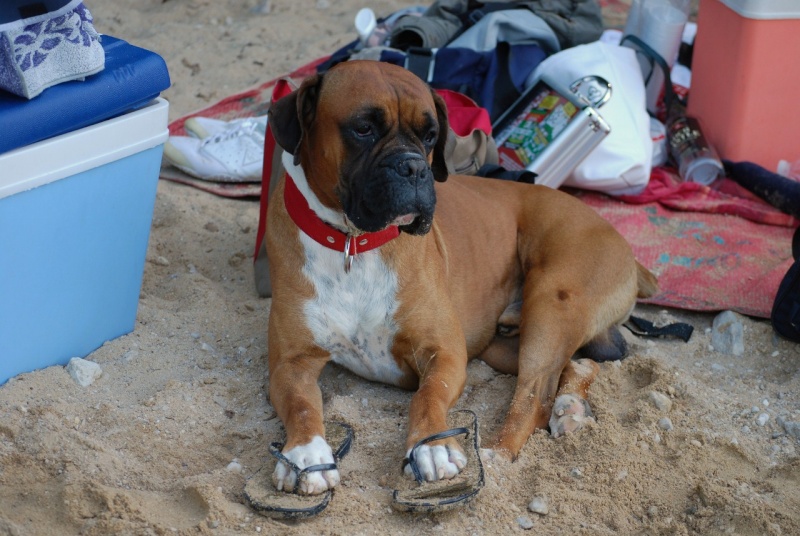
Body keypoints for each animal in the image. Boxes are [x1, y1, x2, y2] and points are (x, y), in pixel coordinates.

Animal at [262, 60, 656, 496]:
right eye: (363, 128)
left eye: (430, 135)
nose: (414, 166)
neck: (353, 243)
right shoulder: (290, 364)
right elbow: (301, 404)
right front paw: (305, 454)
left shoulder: (444, 352)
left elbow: (428, 396)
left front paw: (431, 446)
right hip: (503, 344)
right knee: (576, 367)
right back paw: (569, 408)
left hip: (553, 302)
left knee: (534, 393)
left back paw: (498, 452)